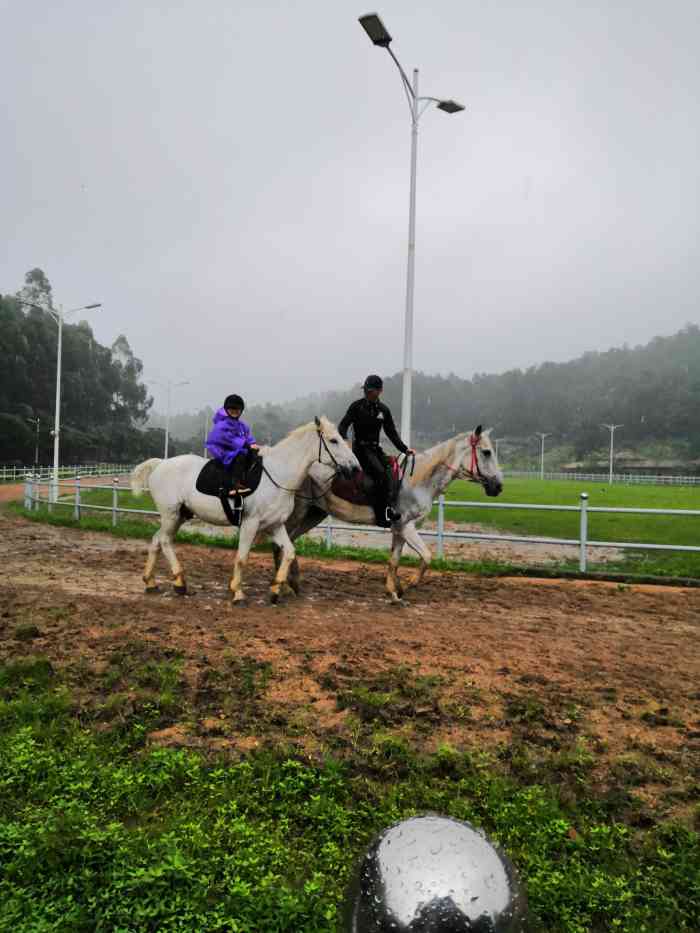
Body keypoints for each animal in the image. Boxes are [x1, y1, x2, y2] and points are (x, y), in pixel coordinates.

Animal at [131, 416, 358, 604]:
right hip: (171, 515)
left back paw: (151, 582)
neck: (277, 476)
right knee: (164, 541)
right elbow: (242, 558)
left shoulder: (275, 525)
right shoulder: (251, 524)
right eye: (334, 440)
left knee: (156, 540)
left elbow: (289, 552)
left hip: (179, 516)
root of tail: (161, 464)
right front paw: (238, 592)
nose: (355, 468)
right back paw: (179, 583)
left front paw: (276, 590)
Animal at [274, 424, 504, 600]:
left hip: (314, 514)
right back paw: (283, 586)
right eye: (486, 452)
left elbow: (394, 560)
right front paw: (410, 583)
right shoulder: (407, 527)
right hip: (299, 512)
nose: (499, 486)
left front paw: (394, 591)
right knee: (282, 544)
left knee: (289, 542)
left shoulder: (399, 529)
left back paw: (292, 583)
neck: (417, 479)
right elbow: (427, 556)